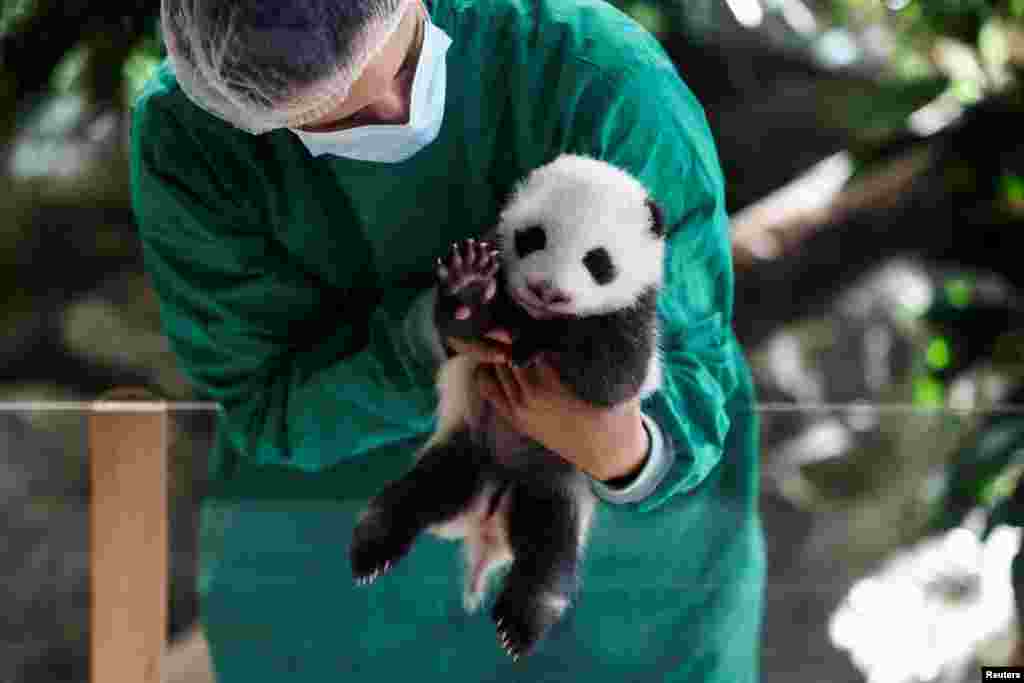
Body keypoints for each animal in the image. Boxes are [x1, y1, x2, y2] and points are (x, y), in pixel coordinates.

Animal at [348, 156, 667, 663]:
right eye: (533, 237)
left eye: (598, 261)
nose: (546, 290)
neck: (534, 317)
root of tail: (489, 512)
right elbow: (457, 327)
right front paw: (468, 285)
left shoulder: (636, 317)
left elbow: (611, 379)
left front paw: (544, 344)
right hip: (465, 449)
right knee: (410, 498)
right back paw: (372, 553)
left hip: (555, 484)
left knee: (548, 554)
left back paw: (521, 624)